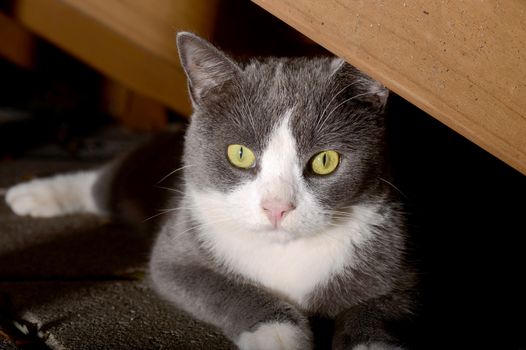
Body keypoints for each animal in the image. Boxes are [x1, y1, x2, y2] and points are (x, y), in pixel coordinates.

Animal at [4, 32, 416, 348]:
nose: (277, 207)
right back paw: (32, 195)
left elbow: (380, 309)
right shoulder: (177, 251)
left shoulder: (402, 265)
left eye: (326, 160)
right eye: (239, 153)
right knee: (100, 184)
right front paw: (279, 334)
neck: (285, 254)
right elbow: (220, 286)